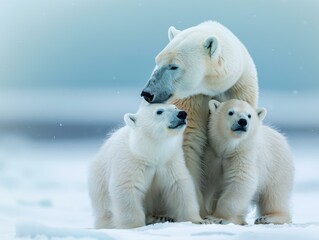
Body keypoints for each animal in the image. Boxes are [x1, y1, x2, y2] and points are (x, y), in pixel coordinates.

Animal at [89, 101, 206, 229]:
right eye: (159, 111)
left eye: (175, 107)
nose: (182, 114)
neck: (149, 153)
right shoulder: (130, 162)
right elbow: (127, 188)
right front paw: (133, 226)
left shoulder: (169, 161)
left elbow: (179, 186)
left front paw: (197, 221)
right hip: (99, 190)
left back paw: (161, 217)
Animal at [141, 21, 258, 216]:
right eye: (157, 62)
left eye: (173, 66)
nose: (148, 93)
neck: (213, 86)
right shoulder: (192, 98)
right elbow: (189, 141)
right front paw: (200, 211)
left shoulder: (238, 90)